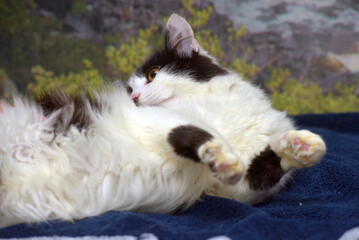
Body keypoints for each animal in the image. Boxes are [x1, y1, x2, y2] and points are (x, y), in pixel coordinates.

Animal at [0, 14, 326, 228]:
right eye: (130, 91)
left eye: (153, 74)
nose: (134, 97)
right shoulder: (155, 121)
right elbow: (192, 131)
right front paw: (219, 154)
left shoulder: (238, 190)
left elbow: (268, 164)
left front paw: (301, 146)